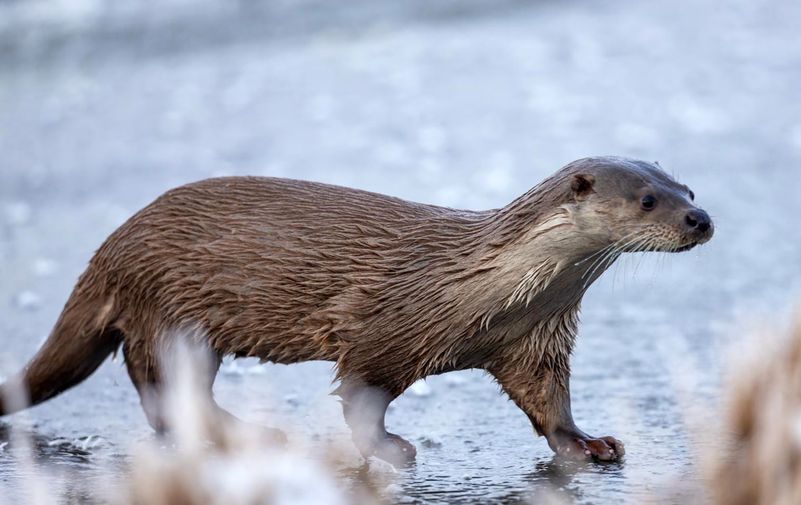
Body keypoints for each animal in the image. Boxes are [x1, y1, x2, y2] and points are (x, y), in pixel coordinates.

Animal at [0, 158, 712, 464]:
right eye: (649, 200)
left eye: (688, 188)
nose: (700, 219)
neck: (489, 292)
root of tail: (111, 248)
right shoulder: (385, 333)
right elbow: (362, 397)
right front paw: (392, 449)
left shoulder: (533, 340)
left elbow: (549, 403)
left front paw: (587, 442)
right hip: (166, 312)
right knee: (162, 396)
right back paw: (260, 436)